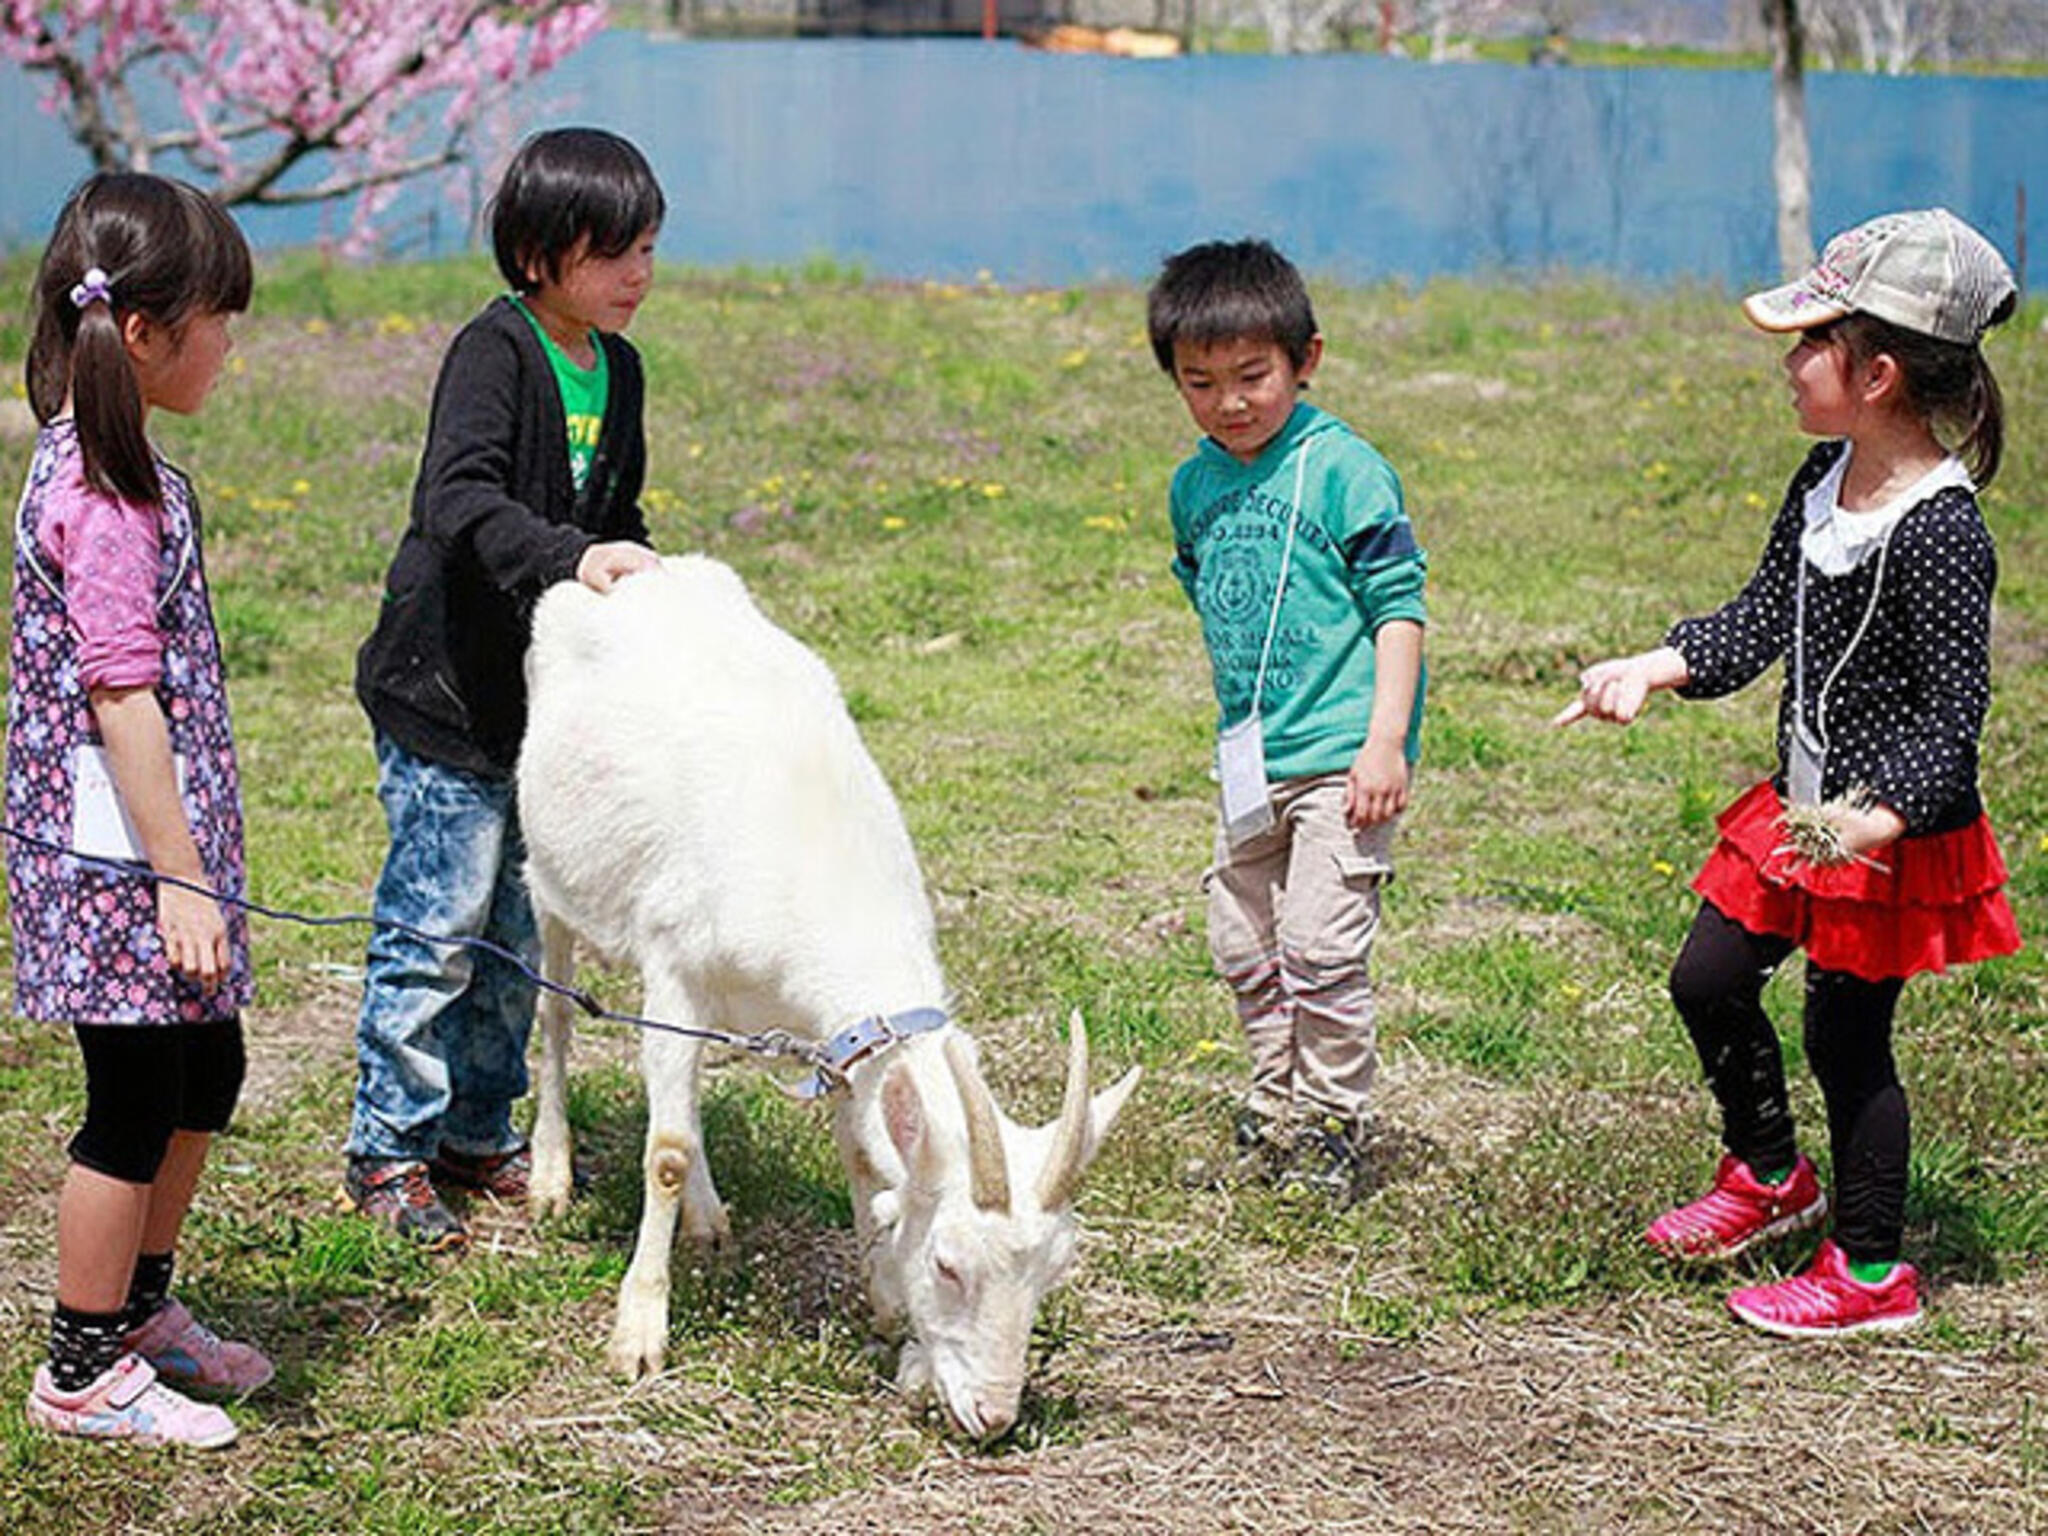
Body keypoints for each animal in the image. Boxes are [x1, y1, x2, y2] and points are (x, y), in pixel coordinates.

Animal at [520, 557, 1146, 1441]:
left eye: (1056, 1268)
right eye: (948, 1264)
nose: (992, 1417)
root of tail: (632, 571)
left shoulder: (843, 1038)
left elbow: (855, 1150)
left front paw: (881, 1303)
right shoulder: (673, 965)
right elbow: (664, 1151)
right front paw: (638, 1335)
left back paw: (710, 1219)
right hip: (549, 878)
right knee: (554, 1016)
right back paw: (550, 1174)